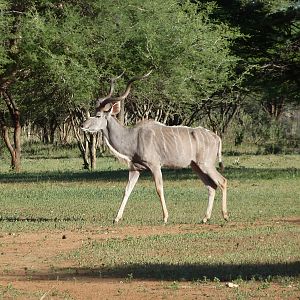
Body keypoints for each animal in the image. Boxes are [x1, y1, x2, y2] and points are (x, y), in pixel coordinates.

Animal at [81, 72, 229, 223]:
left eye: (98, 115)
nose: (82, 125)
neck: (132, 138)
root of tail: (216, 137)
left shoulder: (155, 166)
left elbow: (159, 188)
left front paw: (165, 217)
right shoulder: (135, 168)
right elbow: (127, 189)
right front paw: (116, 218)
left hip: (206, 165)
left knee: (222, 181)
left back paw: (225, 215)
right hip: (196, 166)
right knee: (211, 186)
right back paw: (205, 218)